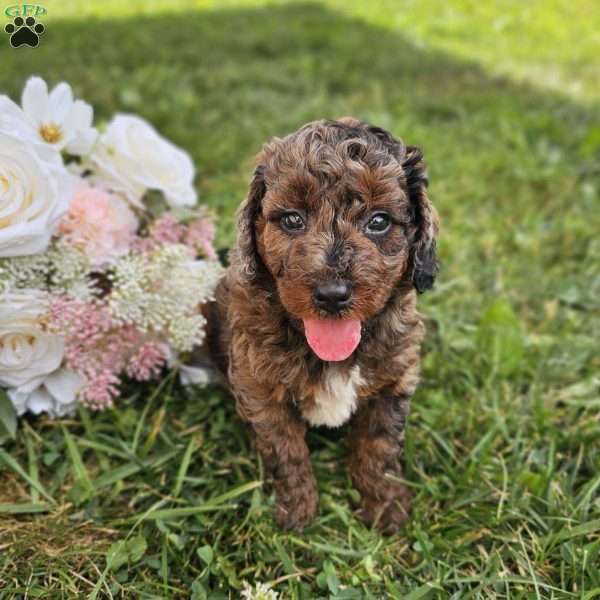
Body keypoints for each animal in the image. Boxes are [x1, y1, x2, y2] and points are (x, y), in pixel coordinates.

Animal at [209, 118, 438, 536]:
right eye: (292, 219)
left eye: (379, 222)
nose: (332, 295)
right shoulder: (259, 388)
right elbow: (285, 451)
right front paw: (297, 509)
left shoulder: (393, 379)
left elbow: (378, 448)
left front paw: (386, 506)